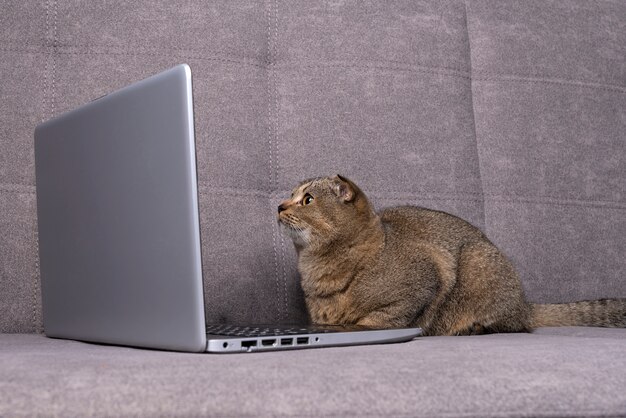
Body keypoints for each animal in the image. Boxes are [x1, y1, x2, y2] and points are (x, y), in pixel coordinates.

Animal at [278, 174, 624, 336]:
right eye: (291, 196)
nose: (280, 206)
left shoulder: (427, 278)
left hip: (478, 260)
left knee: (516, 325)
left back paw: (476, 327)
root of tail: (525, 304)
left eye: (307, 199)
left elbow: (384, 318)